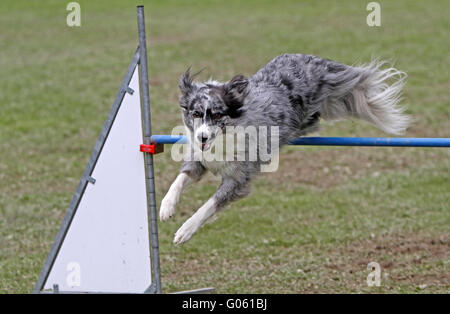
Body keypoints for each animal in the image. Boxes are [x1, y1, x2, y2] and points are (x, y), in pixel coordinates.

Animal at [160, 54, 410, 245]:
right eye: (195, 113)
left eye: (218, 114)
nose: (202, 136)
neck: (224, 138)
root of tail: (310, 59)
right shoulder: (198, 161)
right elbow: (178, 180)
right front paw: (166, 207)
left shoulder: (238, 181)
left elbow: (208, 206)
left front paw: (185, 230)